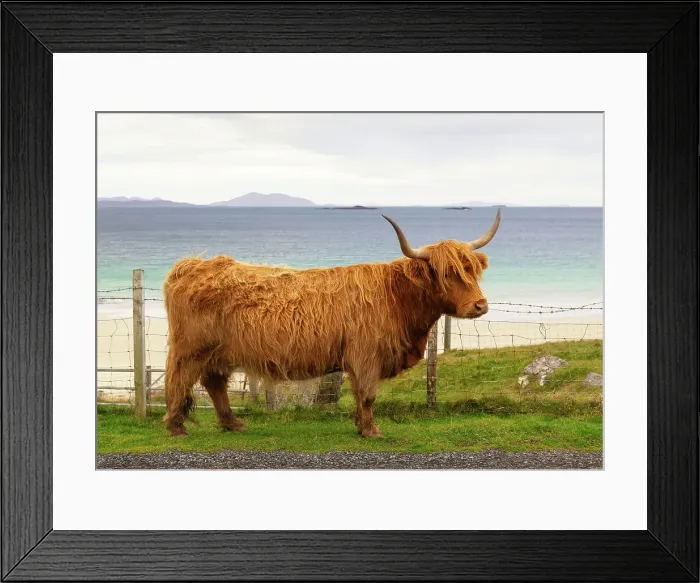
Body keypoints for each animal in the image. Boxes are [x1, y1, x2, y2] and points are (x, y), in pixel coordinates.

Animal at [162, 210, 501, 437]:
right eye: (447, 274)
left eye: (473, 270)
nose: (480, 305)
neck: (396, 297)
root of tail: (192, 264)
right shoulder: (366, 355)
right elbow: (368, 394)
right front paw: (371, 431)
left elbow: (362, 396)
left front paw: (361, 426)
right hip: (190, 348)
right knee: (179, 380)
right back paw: (177, 427)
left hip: (217, 351)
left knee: (214, 383)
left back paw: (233, 423)